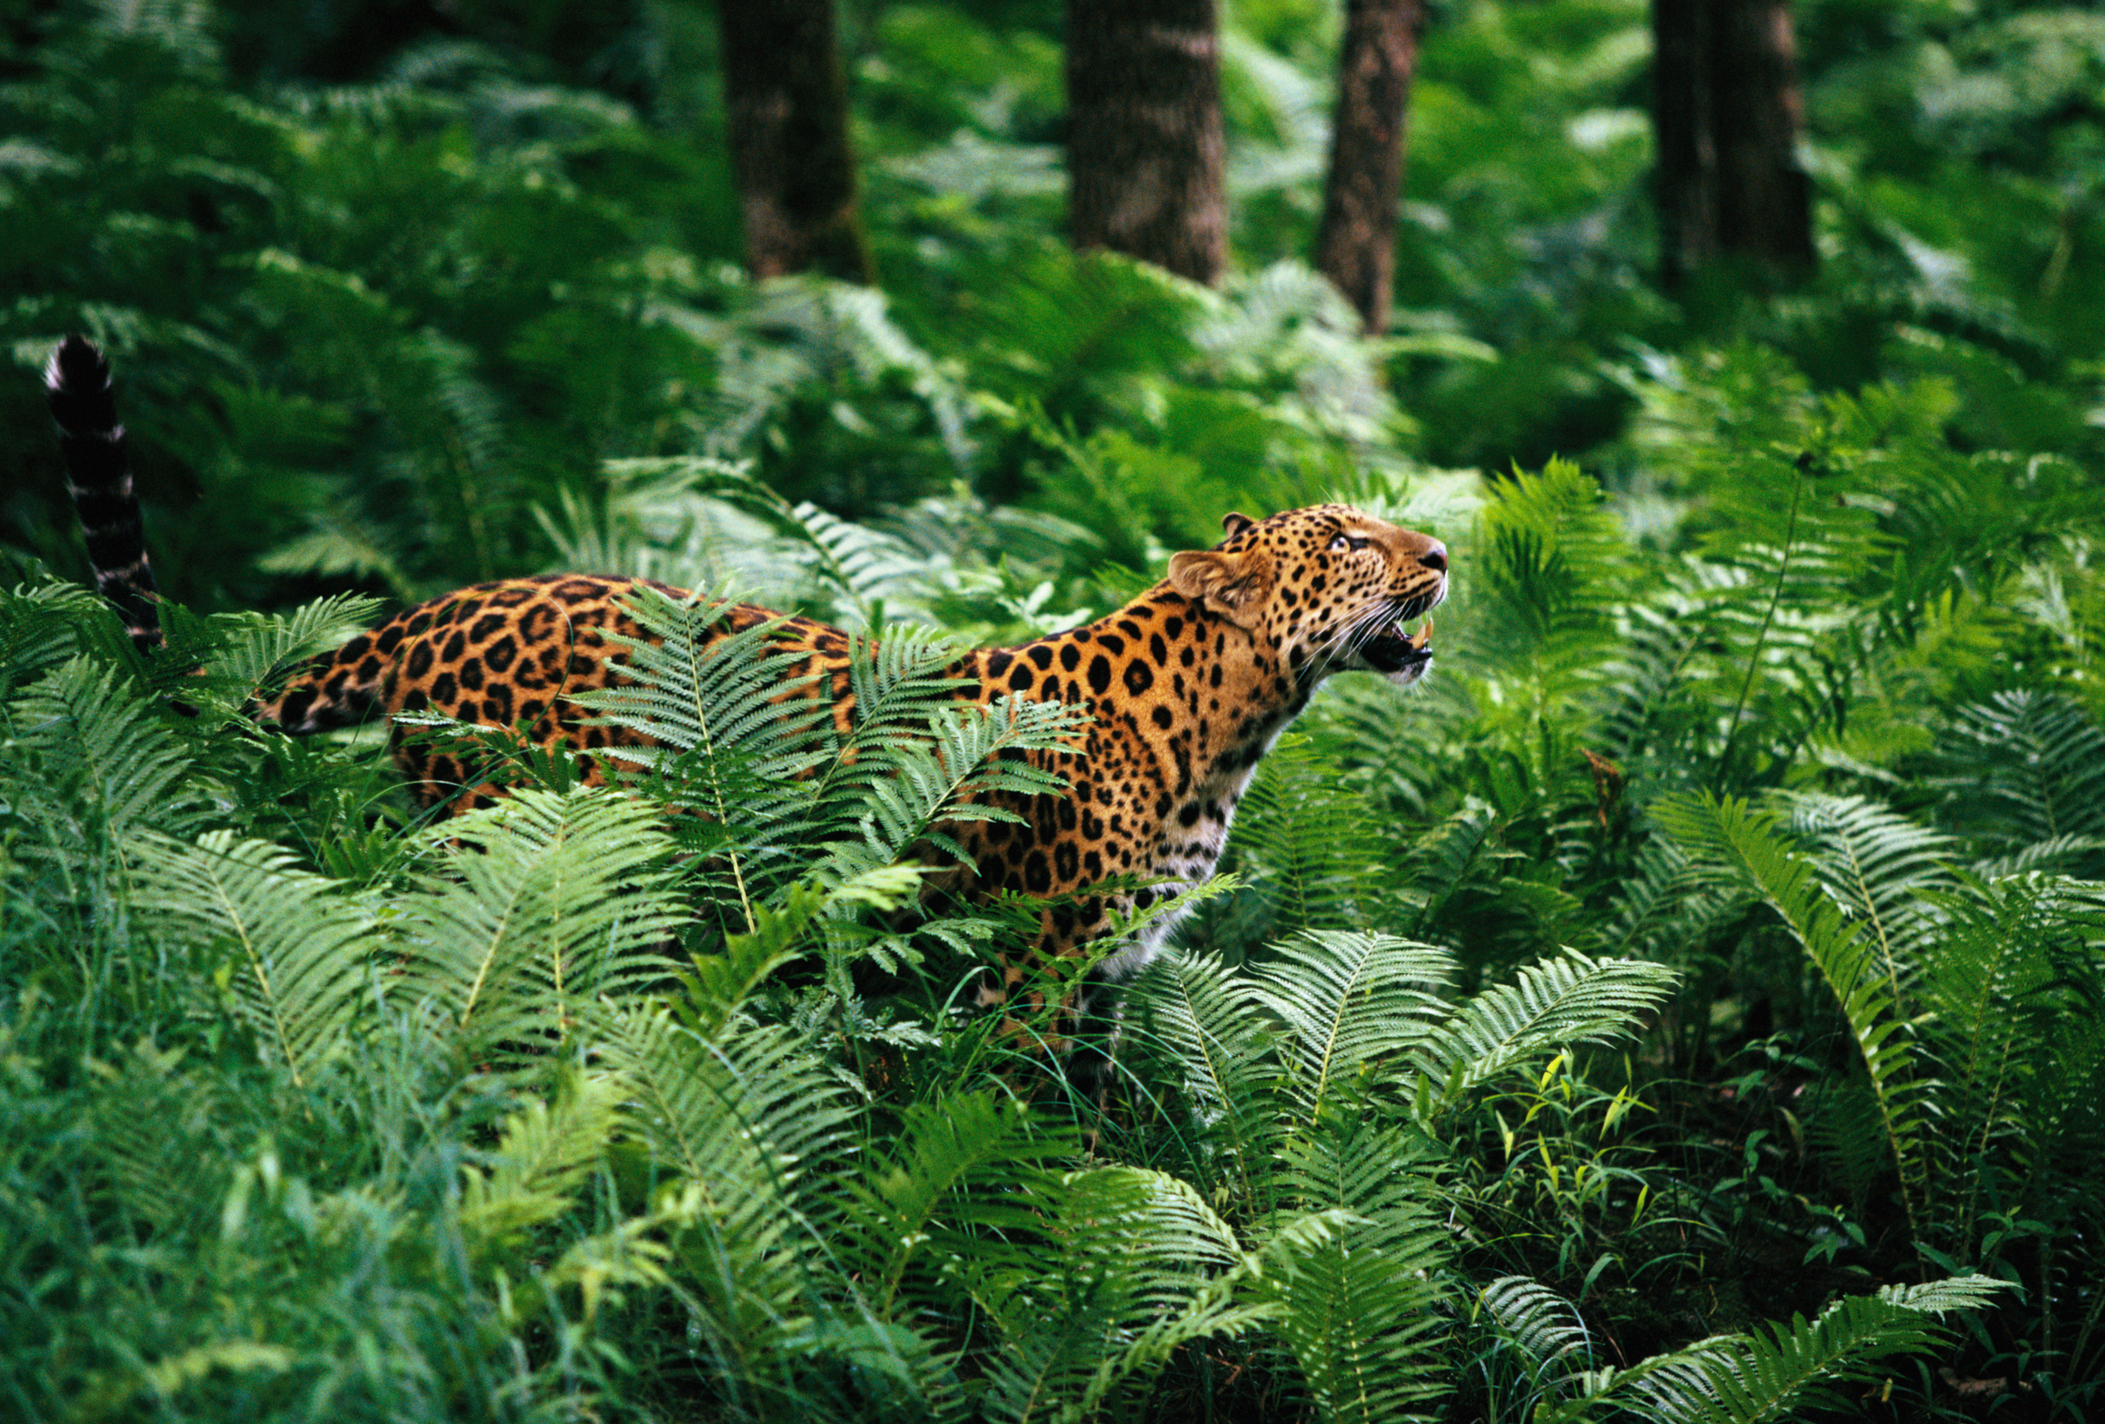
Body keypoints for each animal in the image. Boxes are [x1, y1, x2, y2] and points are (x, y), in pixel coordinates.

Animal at [46, 334, 1449, 1048]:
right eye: (1343, 539)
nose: (1439, 553)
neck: (1230, 733)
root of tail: (438, 606)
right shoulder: (1026, 970)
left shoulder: (1108, 974)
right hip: (507, 827)